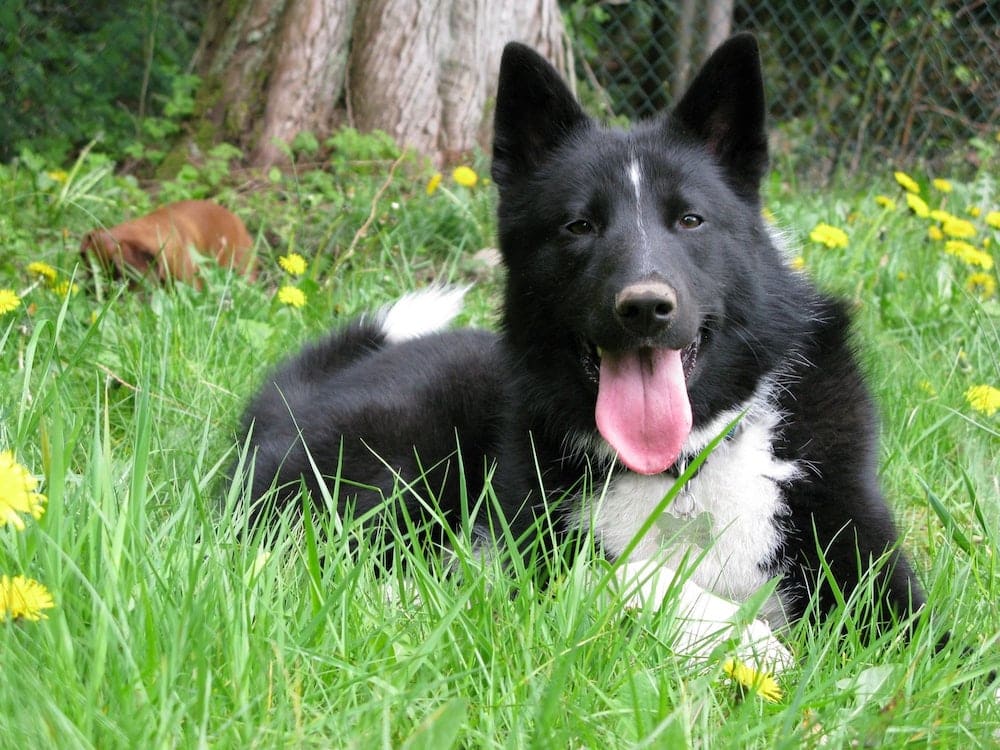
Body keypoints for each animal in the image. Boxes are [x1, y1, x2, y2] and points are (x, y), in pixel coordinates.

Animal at [238, 33, 924, 668]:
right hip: (408, 443)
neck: (682, 468)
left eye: (691, 220)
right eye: (579, 226)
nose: (644, 308)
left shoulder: (881, 581)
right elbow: (629, 572)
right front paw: (747, 642)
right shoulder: (530, 554)